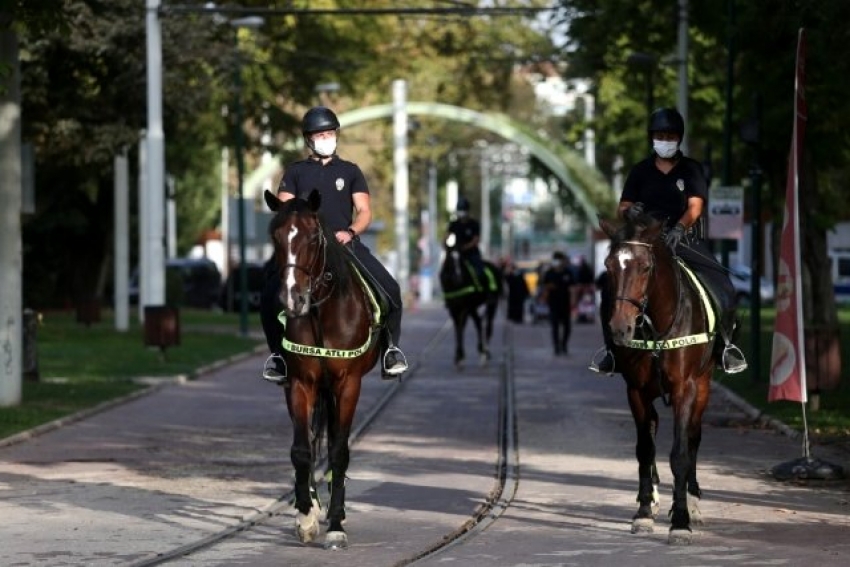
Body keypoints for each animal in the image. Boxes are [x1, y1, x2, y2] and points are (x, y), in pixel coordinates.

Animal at [264, 190, 380, 552]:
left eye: (313, 238)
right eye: (275, 236)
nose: (292, 298)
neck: (320, 311)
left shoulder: (348, 384)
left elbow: (339, 452)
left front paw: (337, 525)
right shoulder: (300, 383)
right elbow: (302, 450)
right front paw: (305, 517)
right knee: (315, 442)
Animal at [438, 234, 496, 368]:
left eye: (461, 258)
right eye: (449, 258)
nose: (458, 278)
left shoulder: (464, 307)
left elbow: (461, 327)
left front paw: (460, 356)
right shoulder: (453, 308)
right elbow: (457, 328)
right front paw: (458, 357)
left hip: (491, 304)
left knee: (488, 328)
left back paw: (485, 353)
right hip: (473, 307)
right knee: (478, 322)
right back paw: (481, 350)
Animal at [596, 213, 716, 544]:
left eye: (645, 267)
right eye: (608, 265)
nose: (620, 328)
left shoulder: (686, 389)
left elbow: (681, 453)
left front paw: (682, 521)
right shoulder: (636, 391)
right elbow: (644, 450)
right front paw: (644, 513)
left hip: (703, 385)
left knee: (694, 437)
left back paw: (693, 501)